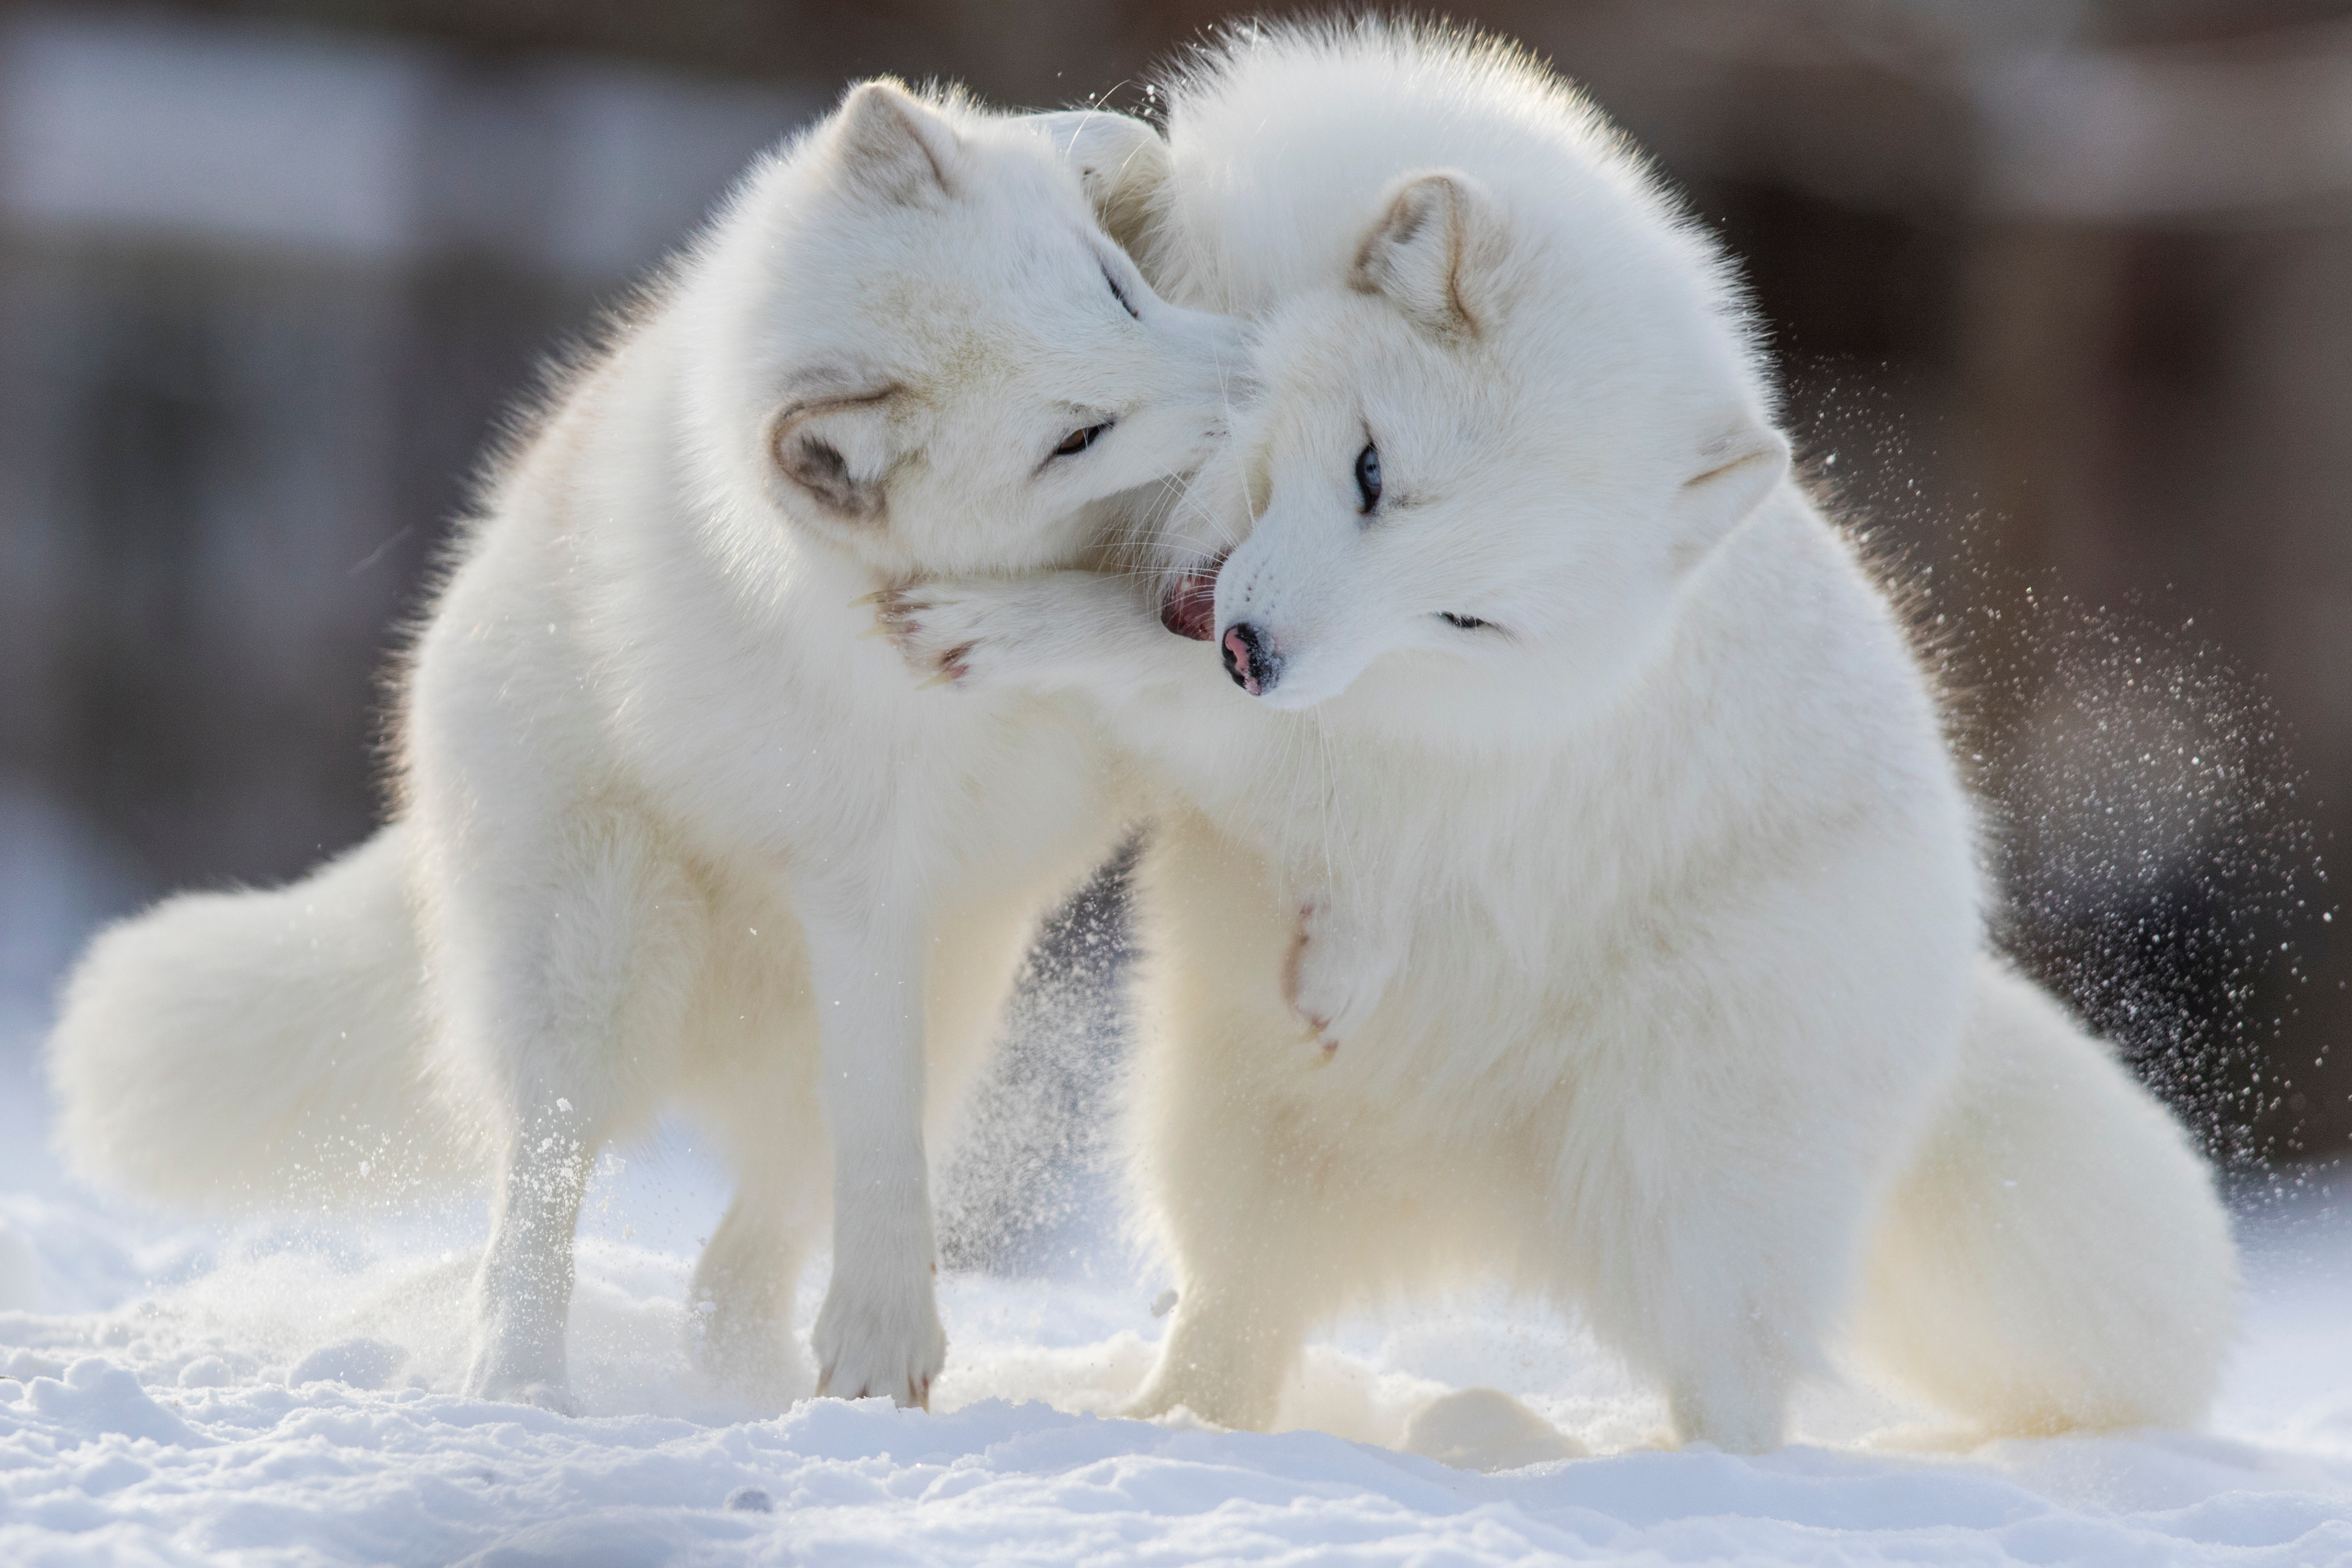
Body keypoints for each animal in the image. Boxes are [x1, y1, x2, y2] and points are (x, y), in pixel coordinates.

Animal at [46, 78, 1244, 1414]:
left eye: (1118, 290)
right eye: (1075, 436)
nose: (1254, 375)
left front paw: (1103, 144)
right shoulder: (862, 889)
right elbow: (882, 1157)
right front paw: (888, 1333)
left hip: (954, 988)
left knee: (735, 1264)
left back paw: (761, 1389)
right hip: (610, 961)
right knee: (548, 1198)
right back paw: (524, 1384)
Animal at [882, 21, 2239, 1450]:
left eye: (1464, 616)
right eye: (1370, 470)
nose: (1257, 650)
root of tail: (1957, 984)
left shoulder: (1316, 733)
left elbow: (1144, 666)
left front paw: (1001, 623)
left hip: (1687, 1176)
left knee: (1735, 1413)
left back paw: (1519, 1444)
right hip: (1228, 1117)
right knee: (1233, 1323)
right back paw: (1170, 1426)